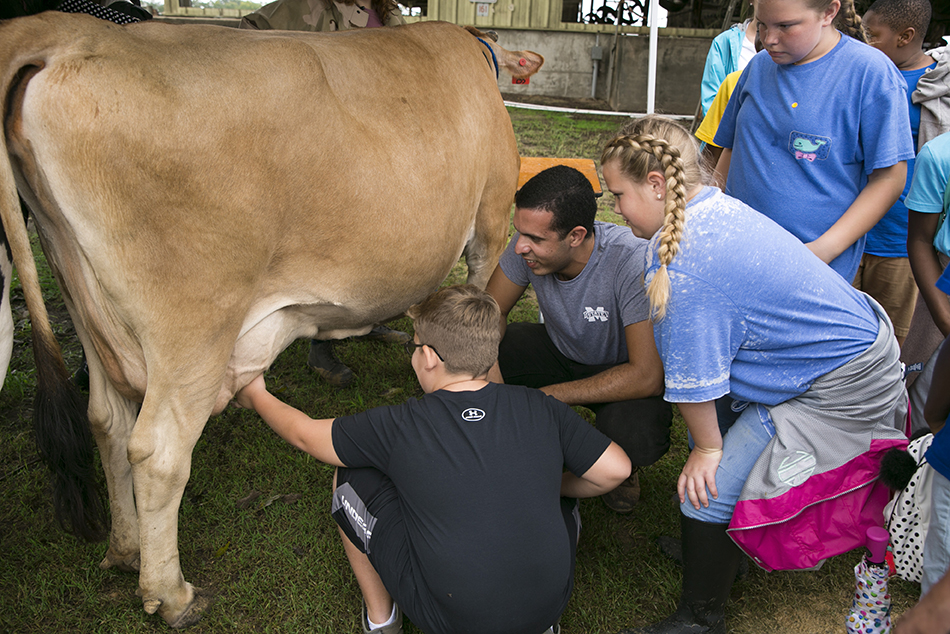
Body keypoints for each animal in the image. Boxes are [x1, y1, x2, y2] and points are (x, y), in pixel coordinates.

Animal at [0, 12, 542, 627]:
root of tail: (67, 30)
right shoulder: (491, 219)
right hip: (194, 323)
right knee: (159, 453)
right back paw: (173, 595)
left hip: (81, 295)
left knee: (107, 420)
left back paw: (124, 549)